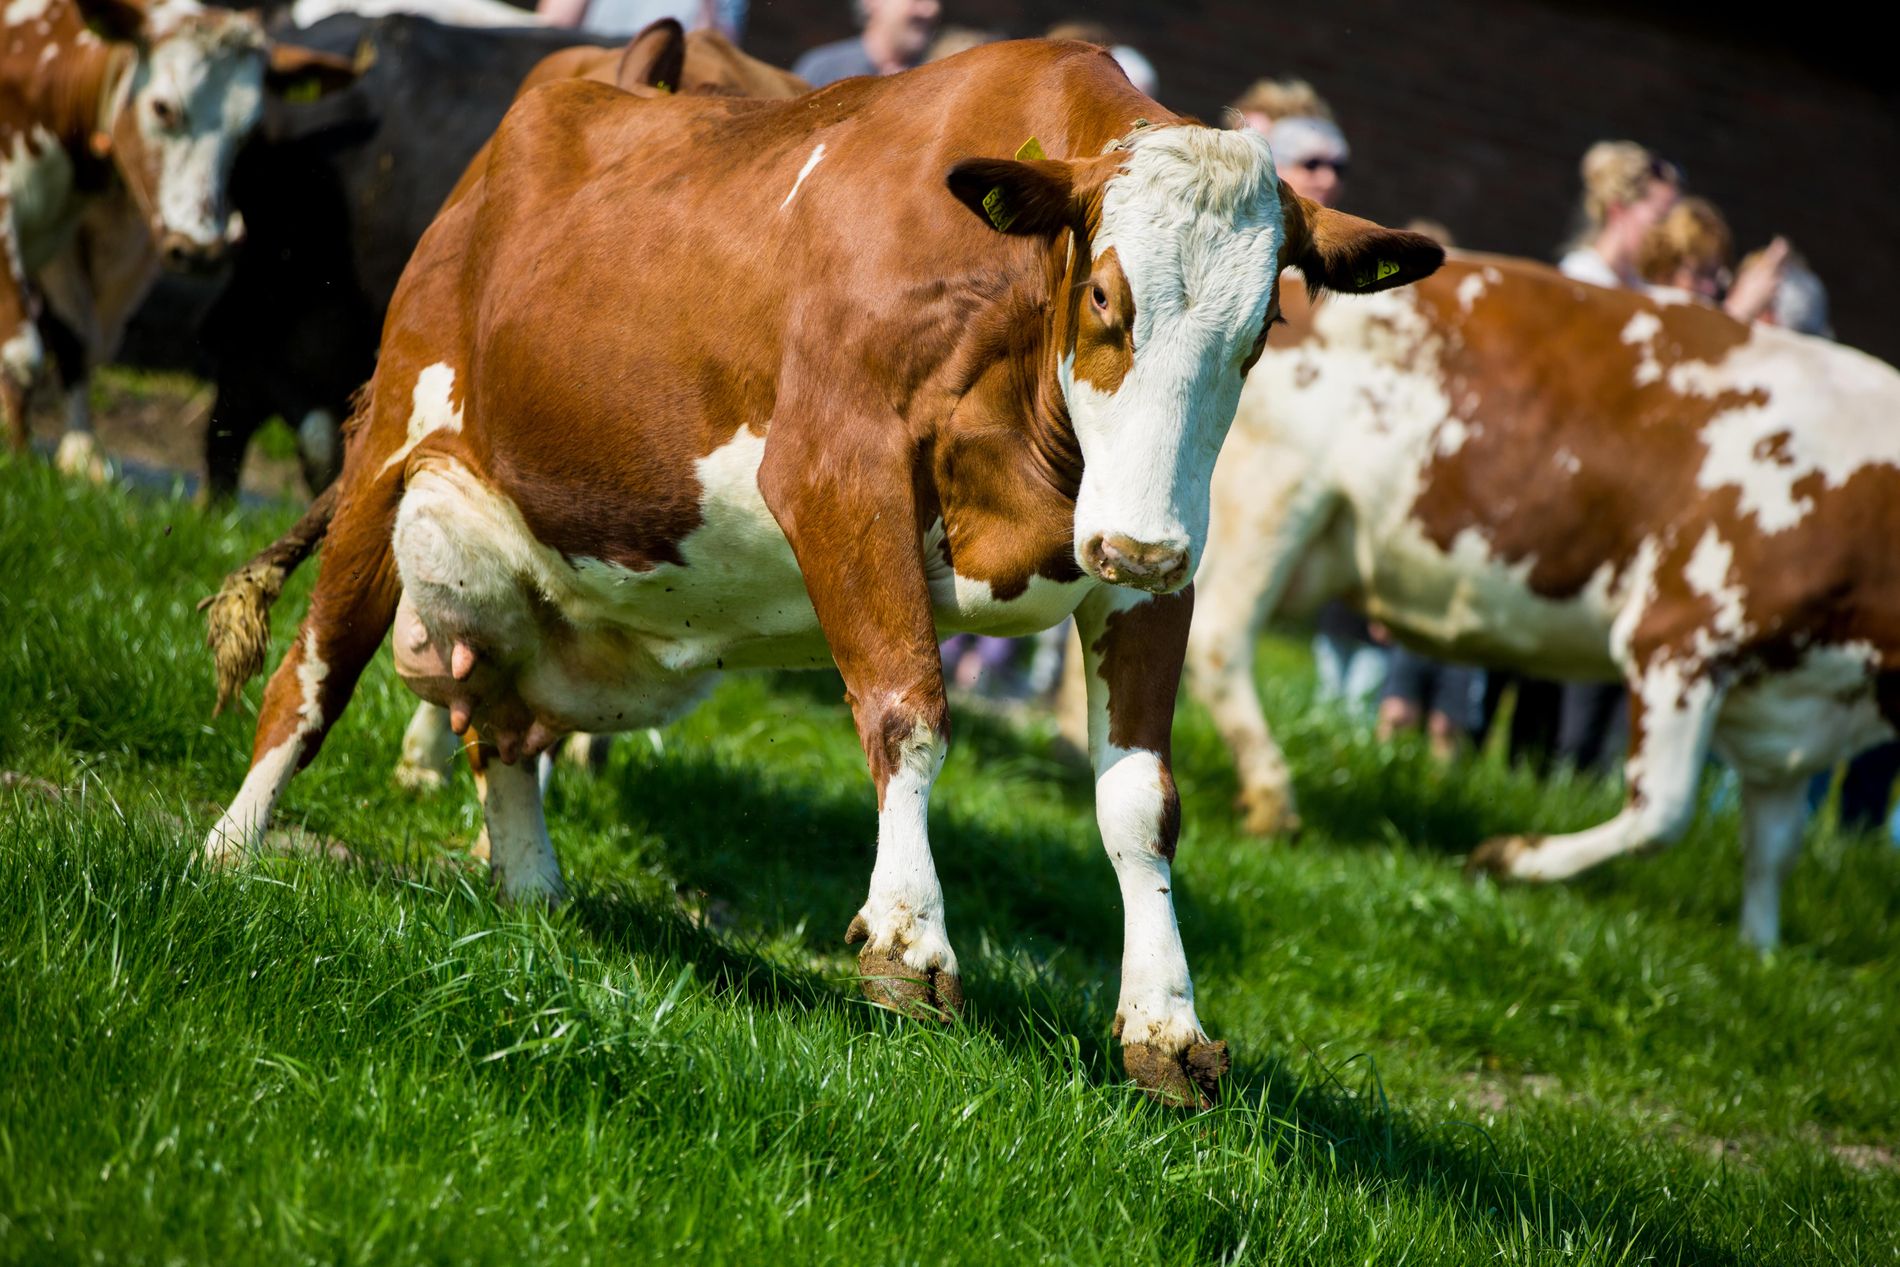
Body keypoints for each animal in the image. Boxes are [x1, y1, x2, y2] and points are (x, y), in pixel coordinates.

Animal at [196, 38, 1442, 1104]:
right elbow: (908, 711)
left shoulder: (1150, 562)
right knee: (312, 675)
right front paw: (908, 936)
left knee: (500, 723)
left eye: (1258, 334)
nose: (1140, 539)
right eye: (1105, 297)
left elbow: (1142, 801)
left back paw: (533, 892)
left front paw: (1166, 1024)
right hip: (393, 438)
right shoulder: (839, 476)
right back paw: (229, 851)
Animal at [1161, 252, 1900, 949]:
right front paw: (1508, 858)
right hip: (1269, 496)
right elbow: (1662, 814)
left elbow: (1774, 850)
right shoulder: (1681, 631)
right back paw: (1272, 798)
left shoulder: (1795, 713)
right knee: (1218, 642)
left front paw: (1758, 954)